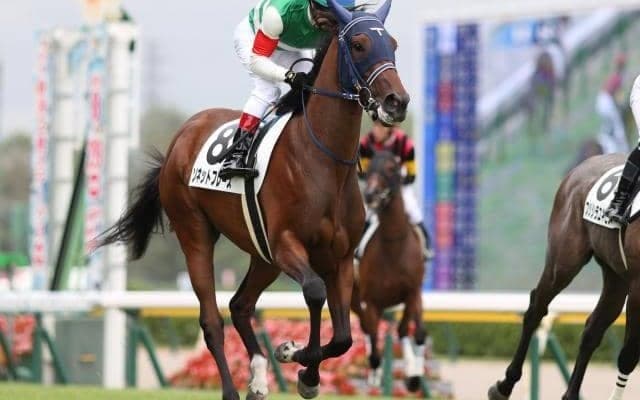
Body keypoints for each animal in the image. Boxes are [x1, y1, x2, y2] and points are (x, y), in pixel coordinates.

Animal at [95, 1, 409, 399]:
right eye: (358, 44)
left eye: (394, 45)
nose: (397, 102)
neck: (324, 162)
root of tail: (181, 137)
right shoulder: (286, 243)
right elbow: (314, 292)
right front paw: (292, 353)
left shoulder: (339, 258)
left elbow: (343, 338)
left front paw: (305, 372)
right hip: (196, 232)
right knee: (212, 319)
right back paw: (232, 388)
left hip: (263, 257)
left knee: (240, 305)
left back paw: (258, 378)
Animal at [351, 151, 427, 392]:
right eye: (369, 168)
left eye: (392, 168)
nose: (371, 194)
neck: (393, 246)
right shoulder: (371, 301)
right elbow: (375, 348)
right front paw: (375, 374)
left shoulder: (413, 292)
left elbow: (417, 334)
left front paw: (414, 376)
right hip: (354, 297)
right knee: (367, 328)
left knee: (402, 330)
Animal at [488, 153, 640, 400]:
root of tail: (583, 165)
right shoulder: (638, 288)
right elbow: (629, 356)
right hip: (563, 263)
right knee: (536, 309)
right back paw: (504, 385)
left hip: (616, 277)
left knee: (592, 329)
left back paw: (570, 394)